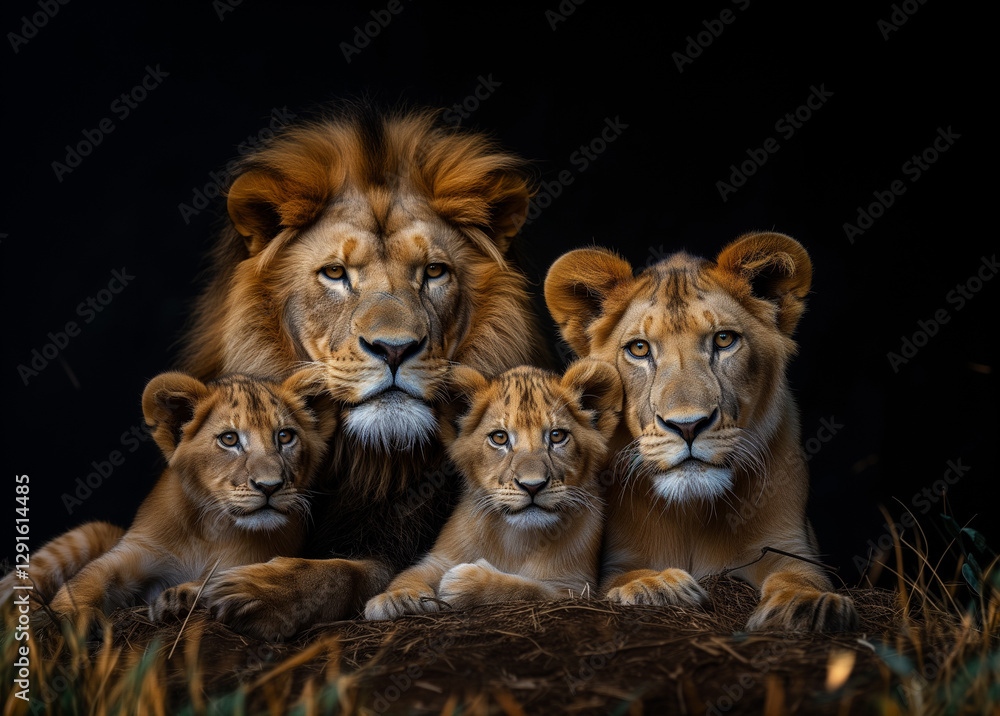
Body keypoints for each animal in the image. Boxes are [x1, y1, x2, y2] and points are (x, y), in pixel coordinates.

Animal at [35, 370, 335, 628]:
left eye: (285, 436)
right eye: (229, 439)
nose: (269, 486)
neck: (210, 530)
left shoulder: (253, 561)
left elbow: (220, 581)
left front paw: (177, 598)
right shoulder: (136, 551)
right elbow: (87, 578)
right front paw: (67, 616)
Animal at [179, 107, 543, 640]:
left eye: (434, 271)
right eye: (335, 273)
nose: (394, 348)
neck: (371, 461)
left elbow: (350, 571)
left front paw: (255, 591)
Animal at [364, 360, 622, 619]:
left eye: (557, 436)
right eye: (499, 438)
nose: (532, 485)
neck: (515, 539)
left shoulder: (575, 588)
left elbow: (528, 588)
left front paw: (467, 583)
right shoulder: (438, 559)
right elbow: (410, 573)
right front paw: (397, 598)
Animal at [544, 232, 859, 631]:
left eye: (724, 340)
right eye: (639, 348)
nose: (688, 425)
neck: (693, 512)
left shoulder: (791, 544)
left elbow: (800, 575)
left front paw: (807, 604)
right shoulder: (616, 559)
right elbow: (625, 576)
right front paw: (657, 586)